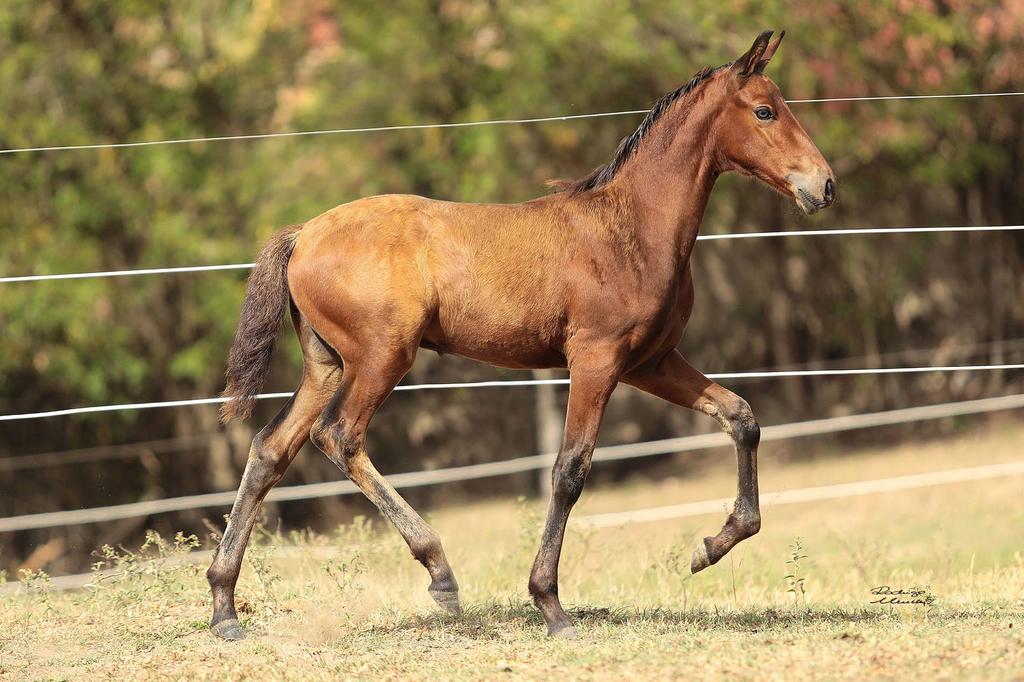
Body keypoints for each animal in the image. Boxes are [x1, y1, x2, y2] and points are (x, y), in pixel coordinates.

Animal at [205, 30, 831, 638]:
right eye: (765, 111)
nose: (823, 185)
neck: (630, 229)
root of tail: (303, 234)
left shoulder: (651, 362)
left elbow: (741, 417)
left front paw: (709, 548)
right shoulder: (597, 360)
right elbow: (569, 471)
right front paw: (550, 606)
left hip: (328, 365)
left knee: (271, 448)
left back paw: (224, 606)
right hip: (382, 357)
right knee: (338, 436)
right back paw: (440, 573)